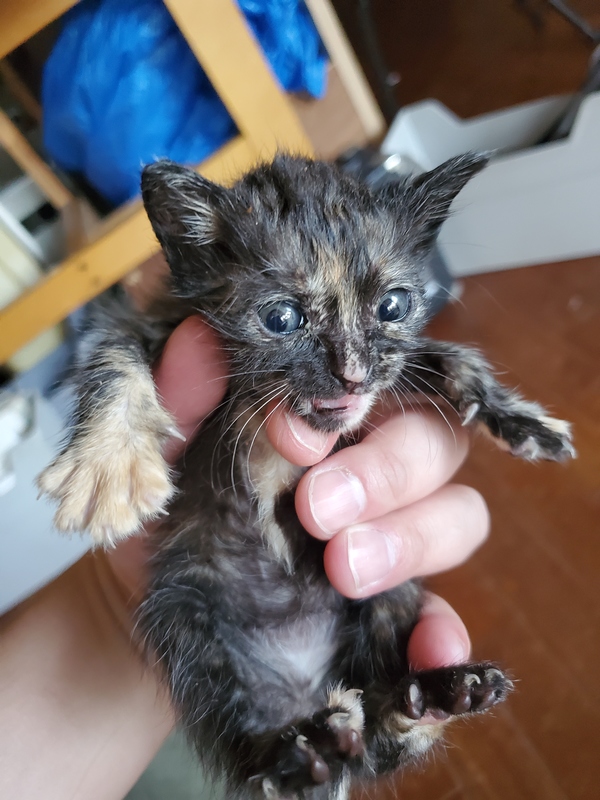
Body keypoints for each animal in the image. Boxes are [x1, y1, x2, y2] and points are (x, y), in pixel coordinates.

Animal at [38, 154, 574, 800]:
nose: (352, 374)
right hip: (184, 612)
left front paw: (521, 419)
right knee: (249, 744)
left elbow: (445, 352)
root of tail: (308, 689)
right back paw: (301, 753)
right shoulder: (152, 319)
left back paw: (426, 702)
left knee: (378, 735)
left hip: (383, 587)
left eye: (392, 307)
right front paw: (108, 466)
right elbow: (111, 352)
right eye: (282, 318)